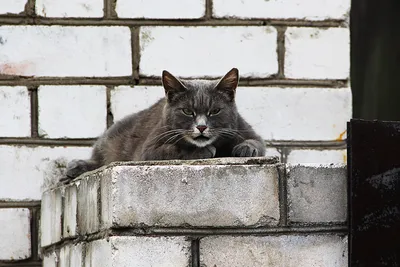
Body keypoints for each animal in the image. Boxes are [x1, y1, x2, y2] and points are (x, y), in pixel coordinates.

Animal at [65, 68, 266, 179]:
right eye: (187, 111)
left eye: (215, 111)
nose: (201, 126)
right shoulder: (147, 151)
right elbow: (172, 149)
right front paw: (201, 151)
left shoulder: (242, 128)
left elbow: (257, 142)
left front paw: (245, 148)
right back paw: (74, 168)